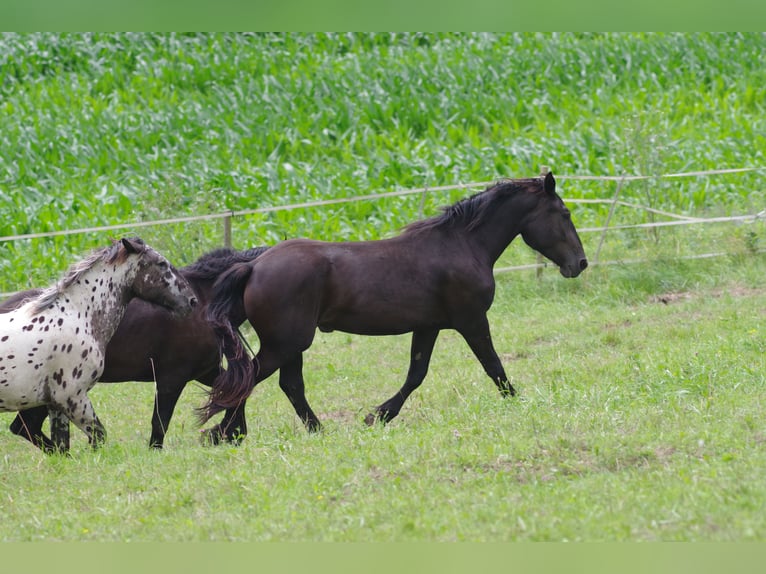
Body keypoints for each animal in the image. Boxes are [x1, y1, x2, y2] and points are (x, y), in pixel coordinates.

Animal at [0, 245, 270, 452]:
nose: (190, 302)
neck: (204, 304)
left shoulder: (205, 371)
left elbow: (238, 393)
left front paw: (229, 434)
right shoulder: (172, 378)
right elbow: (160, 423)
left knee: (26, 428)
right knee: (26, 427)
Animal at [201, 176, 592, 432]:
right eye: (565, 213)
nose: (580, 263)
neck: (463, 246)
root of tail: (254, 266)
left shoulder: (429, 326)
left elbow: (416, 374)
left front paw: (378, 415)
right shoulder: (472, 320)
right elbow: (493, 366)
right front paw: (519, 403)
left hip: (291, 344)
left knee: (286, 384)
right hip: (286, 342)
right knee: (252, 377)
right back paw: (229, 433)